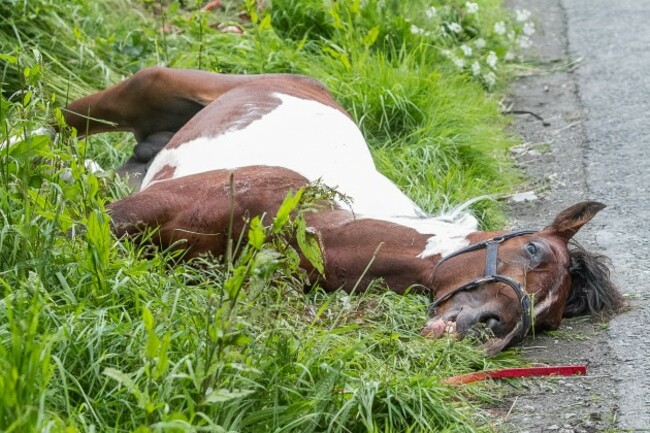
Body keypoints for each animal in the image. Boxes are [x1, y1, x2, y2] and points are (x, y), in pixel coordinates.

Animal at [62, 66, 624, 352]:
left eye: (547, 323)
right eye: (532, 251)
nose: (492, 329)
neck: (312, 223)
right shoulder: (130, 212)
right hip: (136, 93)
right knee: (59, 121)